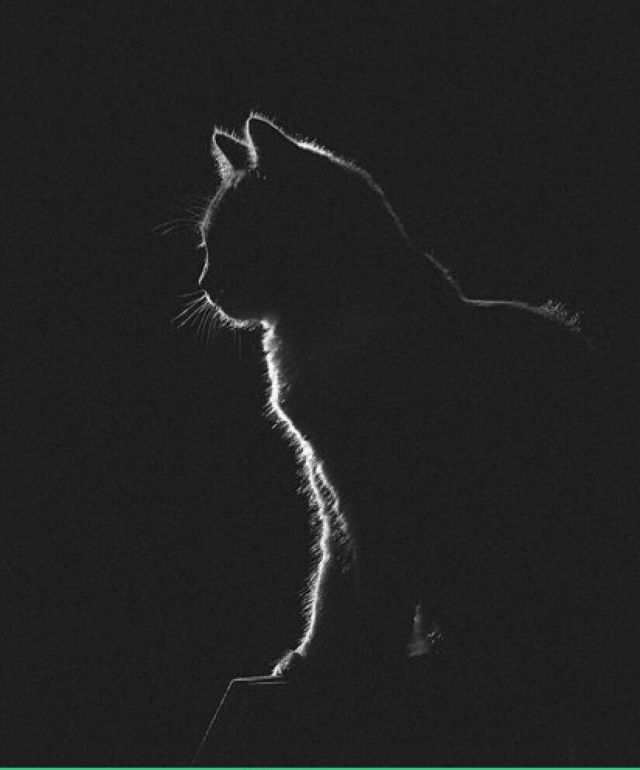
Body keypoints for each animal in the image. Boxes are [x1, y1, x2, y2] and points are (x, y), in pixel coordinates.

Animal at [196, 114, 638, 762]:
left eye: (235, 237)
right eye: (206, 243)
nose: (204, 283)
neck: (314, 334)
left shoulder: (378, 489)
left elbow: (369, 585)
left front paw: (356, 668)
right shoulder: (329, 485)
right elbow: (331, 583)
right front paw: (310, 661)